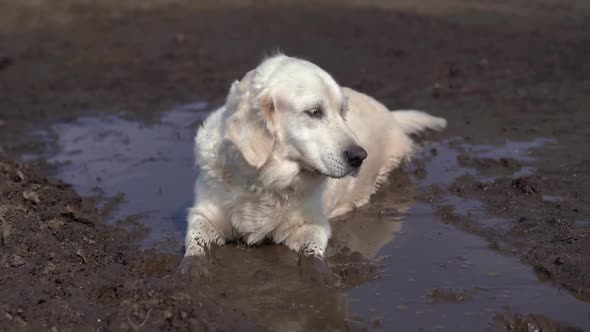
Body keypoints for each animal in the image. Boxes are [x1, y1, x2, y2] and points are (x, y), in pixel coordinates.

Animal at [183, 53, 446, 268]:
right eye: (314, 112)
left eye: (342, 112)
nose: (359, 156)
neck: (264, 181)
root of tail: (390, 112)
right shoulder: (204, 215)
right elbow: (194, 246)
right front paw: (191, 272)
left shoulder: (312, 225)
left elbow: (312, 255)